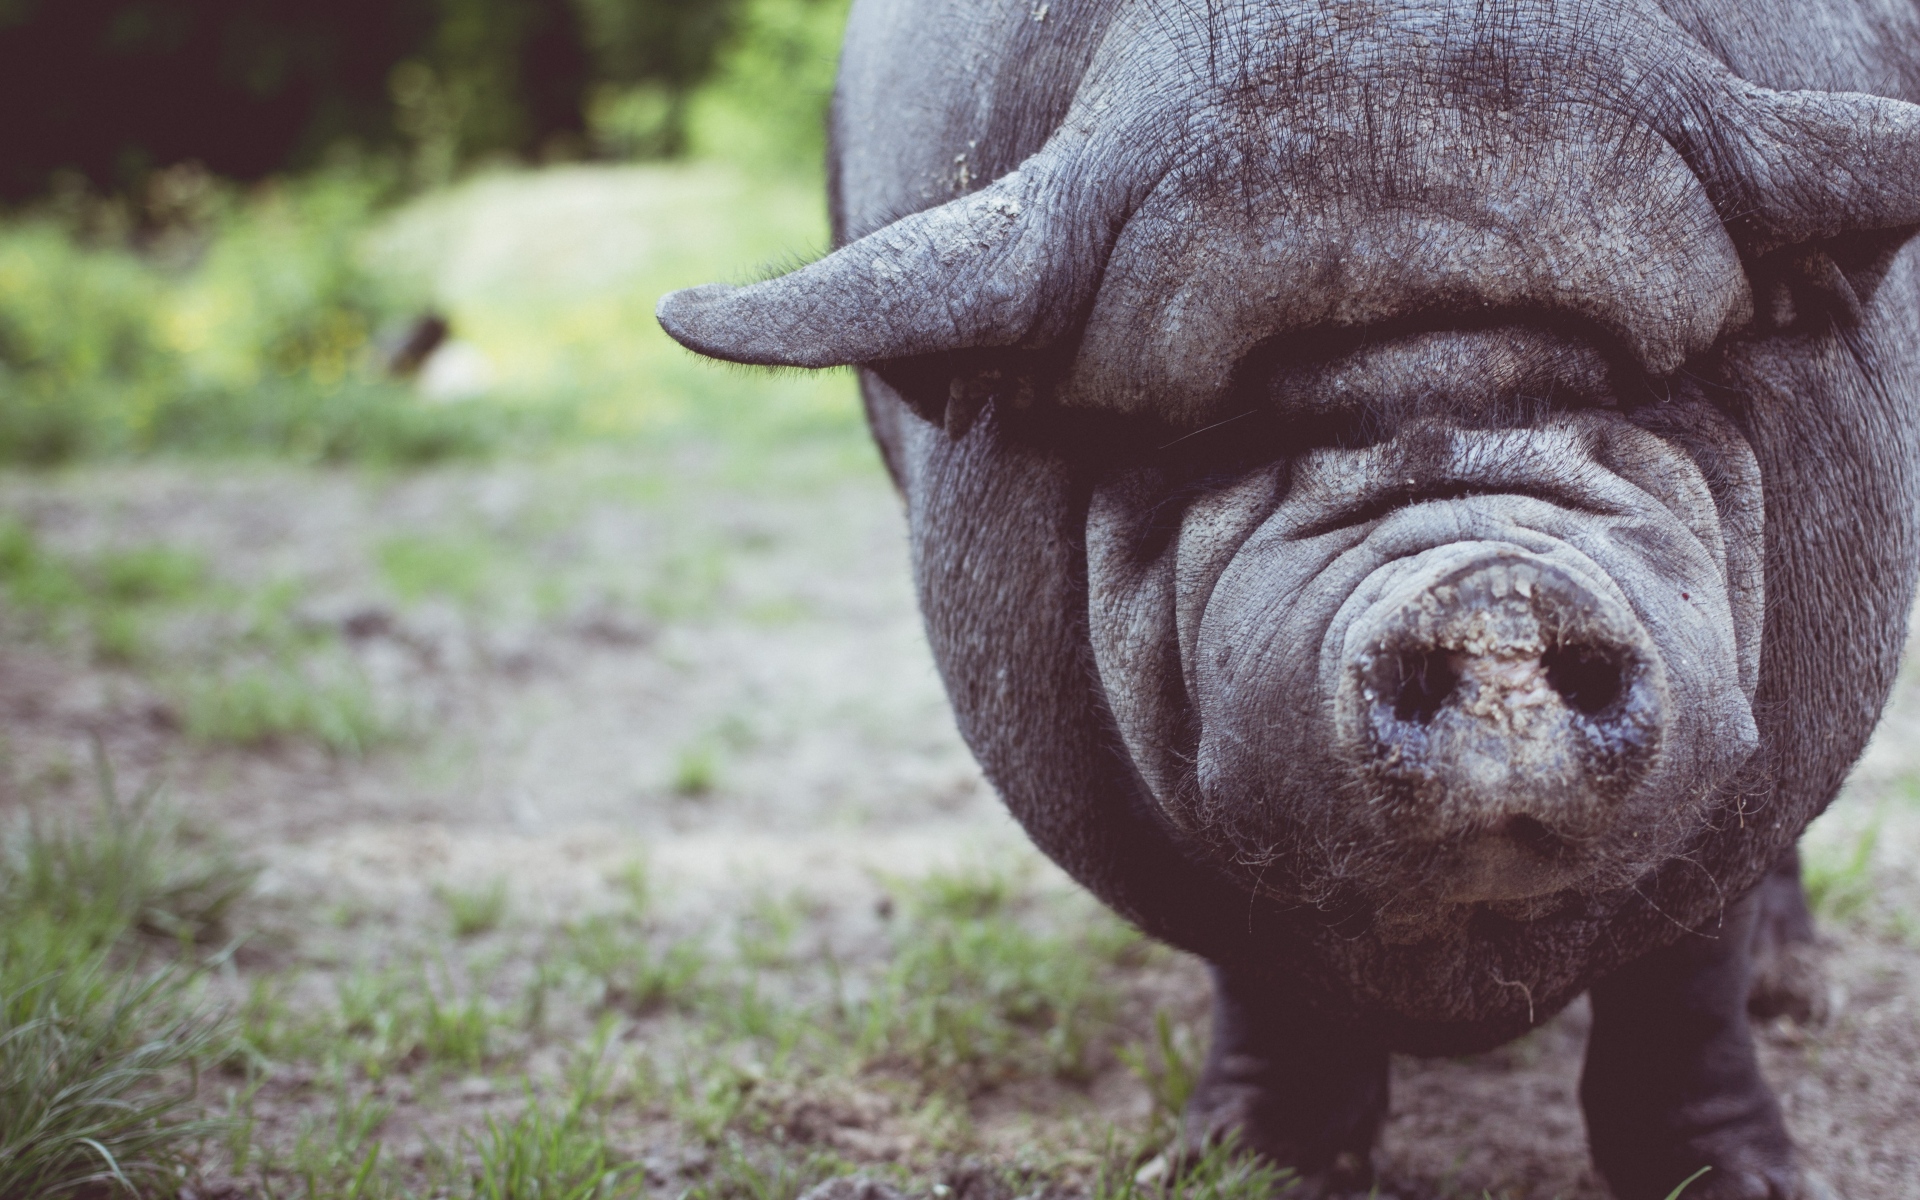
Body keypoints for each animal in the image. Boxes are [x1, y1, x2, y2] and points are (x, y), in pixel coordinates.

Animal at [657, 1, 1920, 1196]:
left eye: (1641, 383)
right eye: (1228, 429)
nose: (1488, 587)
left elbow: (1686, 973)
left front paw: (1748, 1186)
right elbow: (1268, 973)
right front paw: (1248, 1169)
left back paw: (1793, 996)